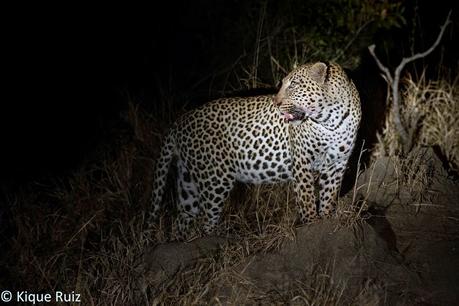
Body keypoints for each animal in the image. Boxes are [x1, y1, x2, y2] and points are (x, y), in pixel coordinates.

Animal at [151, 61, 362, 237]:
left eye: (293, 85)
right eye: (282, 84)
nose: (276, 103)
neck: (330, 120)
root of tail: (179, 122)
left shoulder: (338, 163)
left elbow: (329, 193)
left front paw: (325, 219)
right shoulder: (302, 161)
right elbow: (307, 196)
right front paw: (312, 223)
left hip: (188, 182)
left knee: (182, 219)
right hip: (214, 180)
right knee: (204, 221)